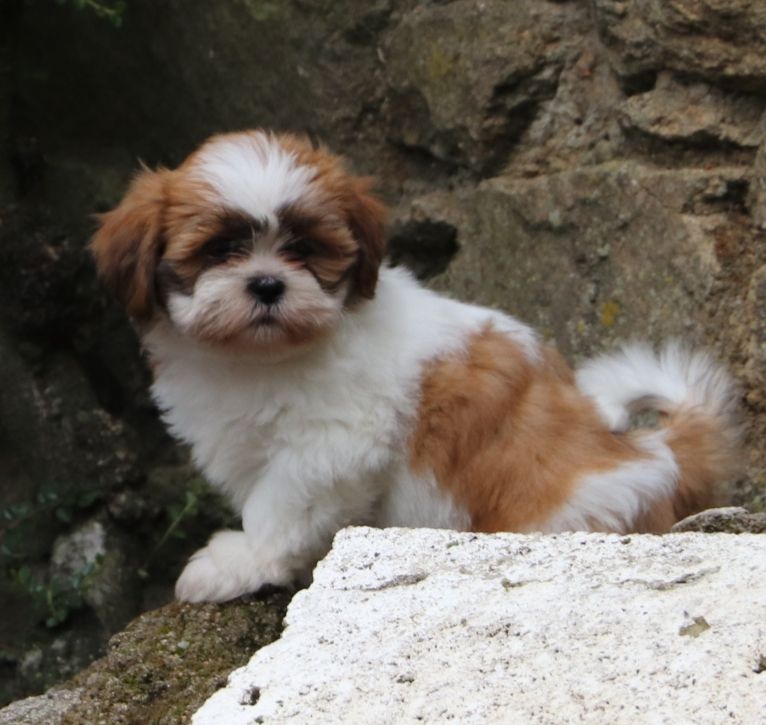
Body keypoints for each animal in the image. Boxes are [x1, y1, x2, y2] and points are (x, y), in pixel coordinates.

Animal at [91, 130, 740, 603]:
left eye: (303, 249)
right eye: (221, 250)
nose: (268, 284)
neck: (261, 359)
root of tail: (656, 453)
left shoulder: (332, 444)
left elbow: (279, 505)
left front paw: (241, 560)